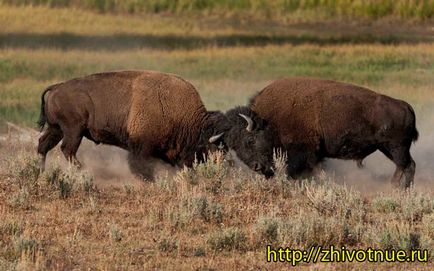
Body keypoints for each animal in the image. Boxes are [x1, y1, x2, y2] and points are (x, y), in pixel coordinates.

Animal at [38, 71, 274, 180]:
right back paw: (86, 172)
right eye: (249, 140)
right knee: (67, 150)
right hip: (73, 130)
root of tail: (57, 87)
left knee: (43, 146)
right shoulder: (141, 148)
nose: (263, 168)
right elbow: (141, 167)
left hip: (57, 129)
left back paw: (41, 172)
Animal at [249, 77, 418, 189]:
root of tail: (405, 106)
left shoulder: (304, 152)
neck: (272, 119)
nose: (257, 166)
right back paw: (398, 186)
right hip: (387, 148)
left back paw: (399, 187)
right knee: (405, 165)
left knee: (406, 165)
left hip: (396, 147)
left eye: (255, 138)